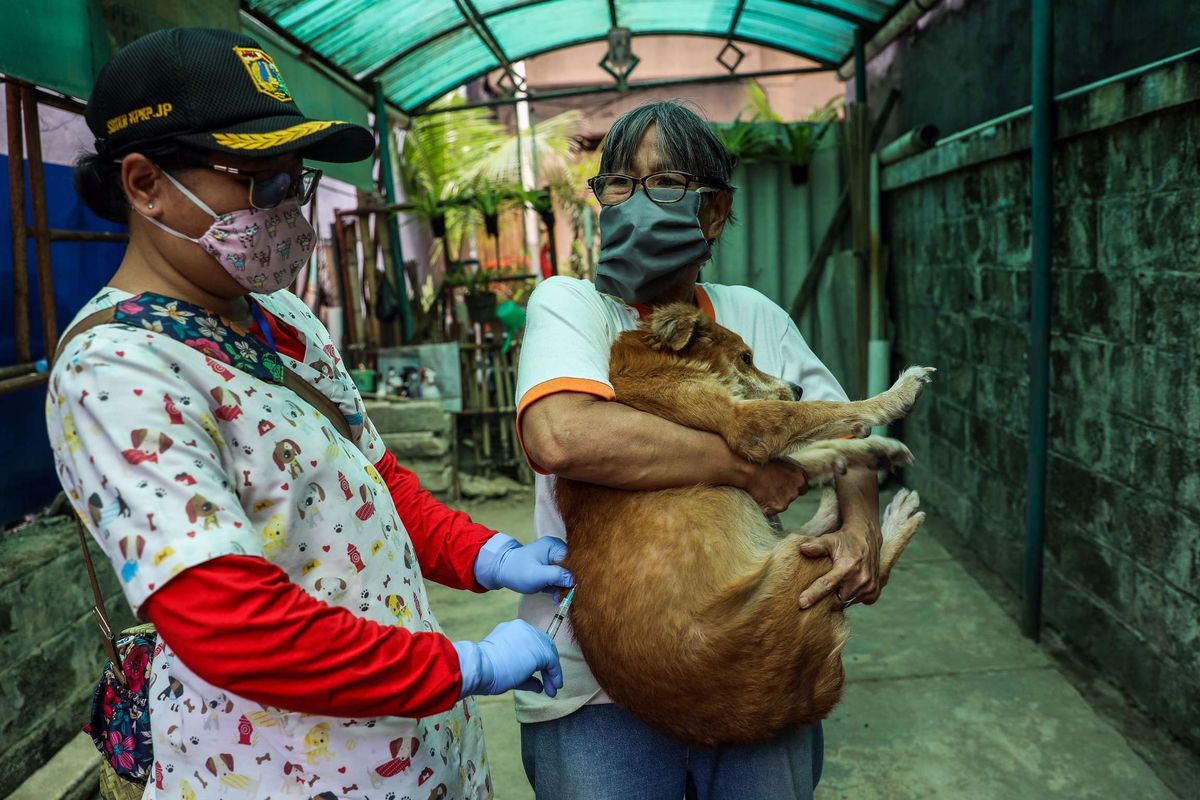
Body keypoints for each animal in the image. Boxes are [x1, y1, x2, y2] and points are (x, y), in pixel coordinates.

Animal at [556, 303, 931, 748]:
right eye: (746, 358)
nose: (797, 386)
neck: (656, 363)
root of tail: (798, 706)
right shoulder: (749, 426)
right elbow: (822, 413)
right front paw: (897, 397)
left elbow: (810, 448)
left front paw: (873, 449)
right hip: (795, 565)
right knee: (866, 565)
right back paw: (899, 516)